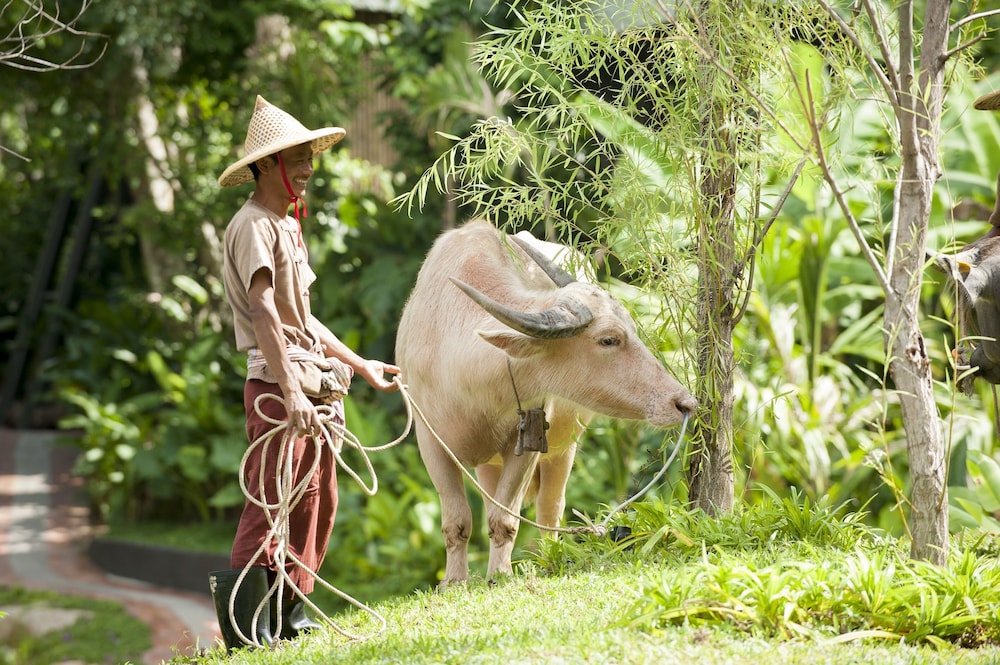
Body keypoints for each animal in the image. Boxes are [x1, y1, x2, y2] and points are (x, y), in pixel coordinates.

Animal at [396, 220, 696, 584]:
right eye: (609, 340)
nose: (684, 402)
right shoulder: (430, 441)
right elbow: (458, 521)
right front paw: (453, 582)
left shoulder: (527, 440)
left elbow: (505, 520)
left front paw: (500, 575)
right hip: (489, 463)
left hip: (564, 447)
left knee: (549, 511)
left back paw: (547, 558)